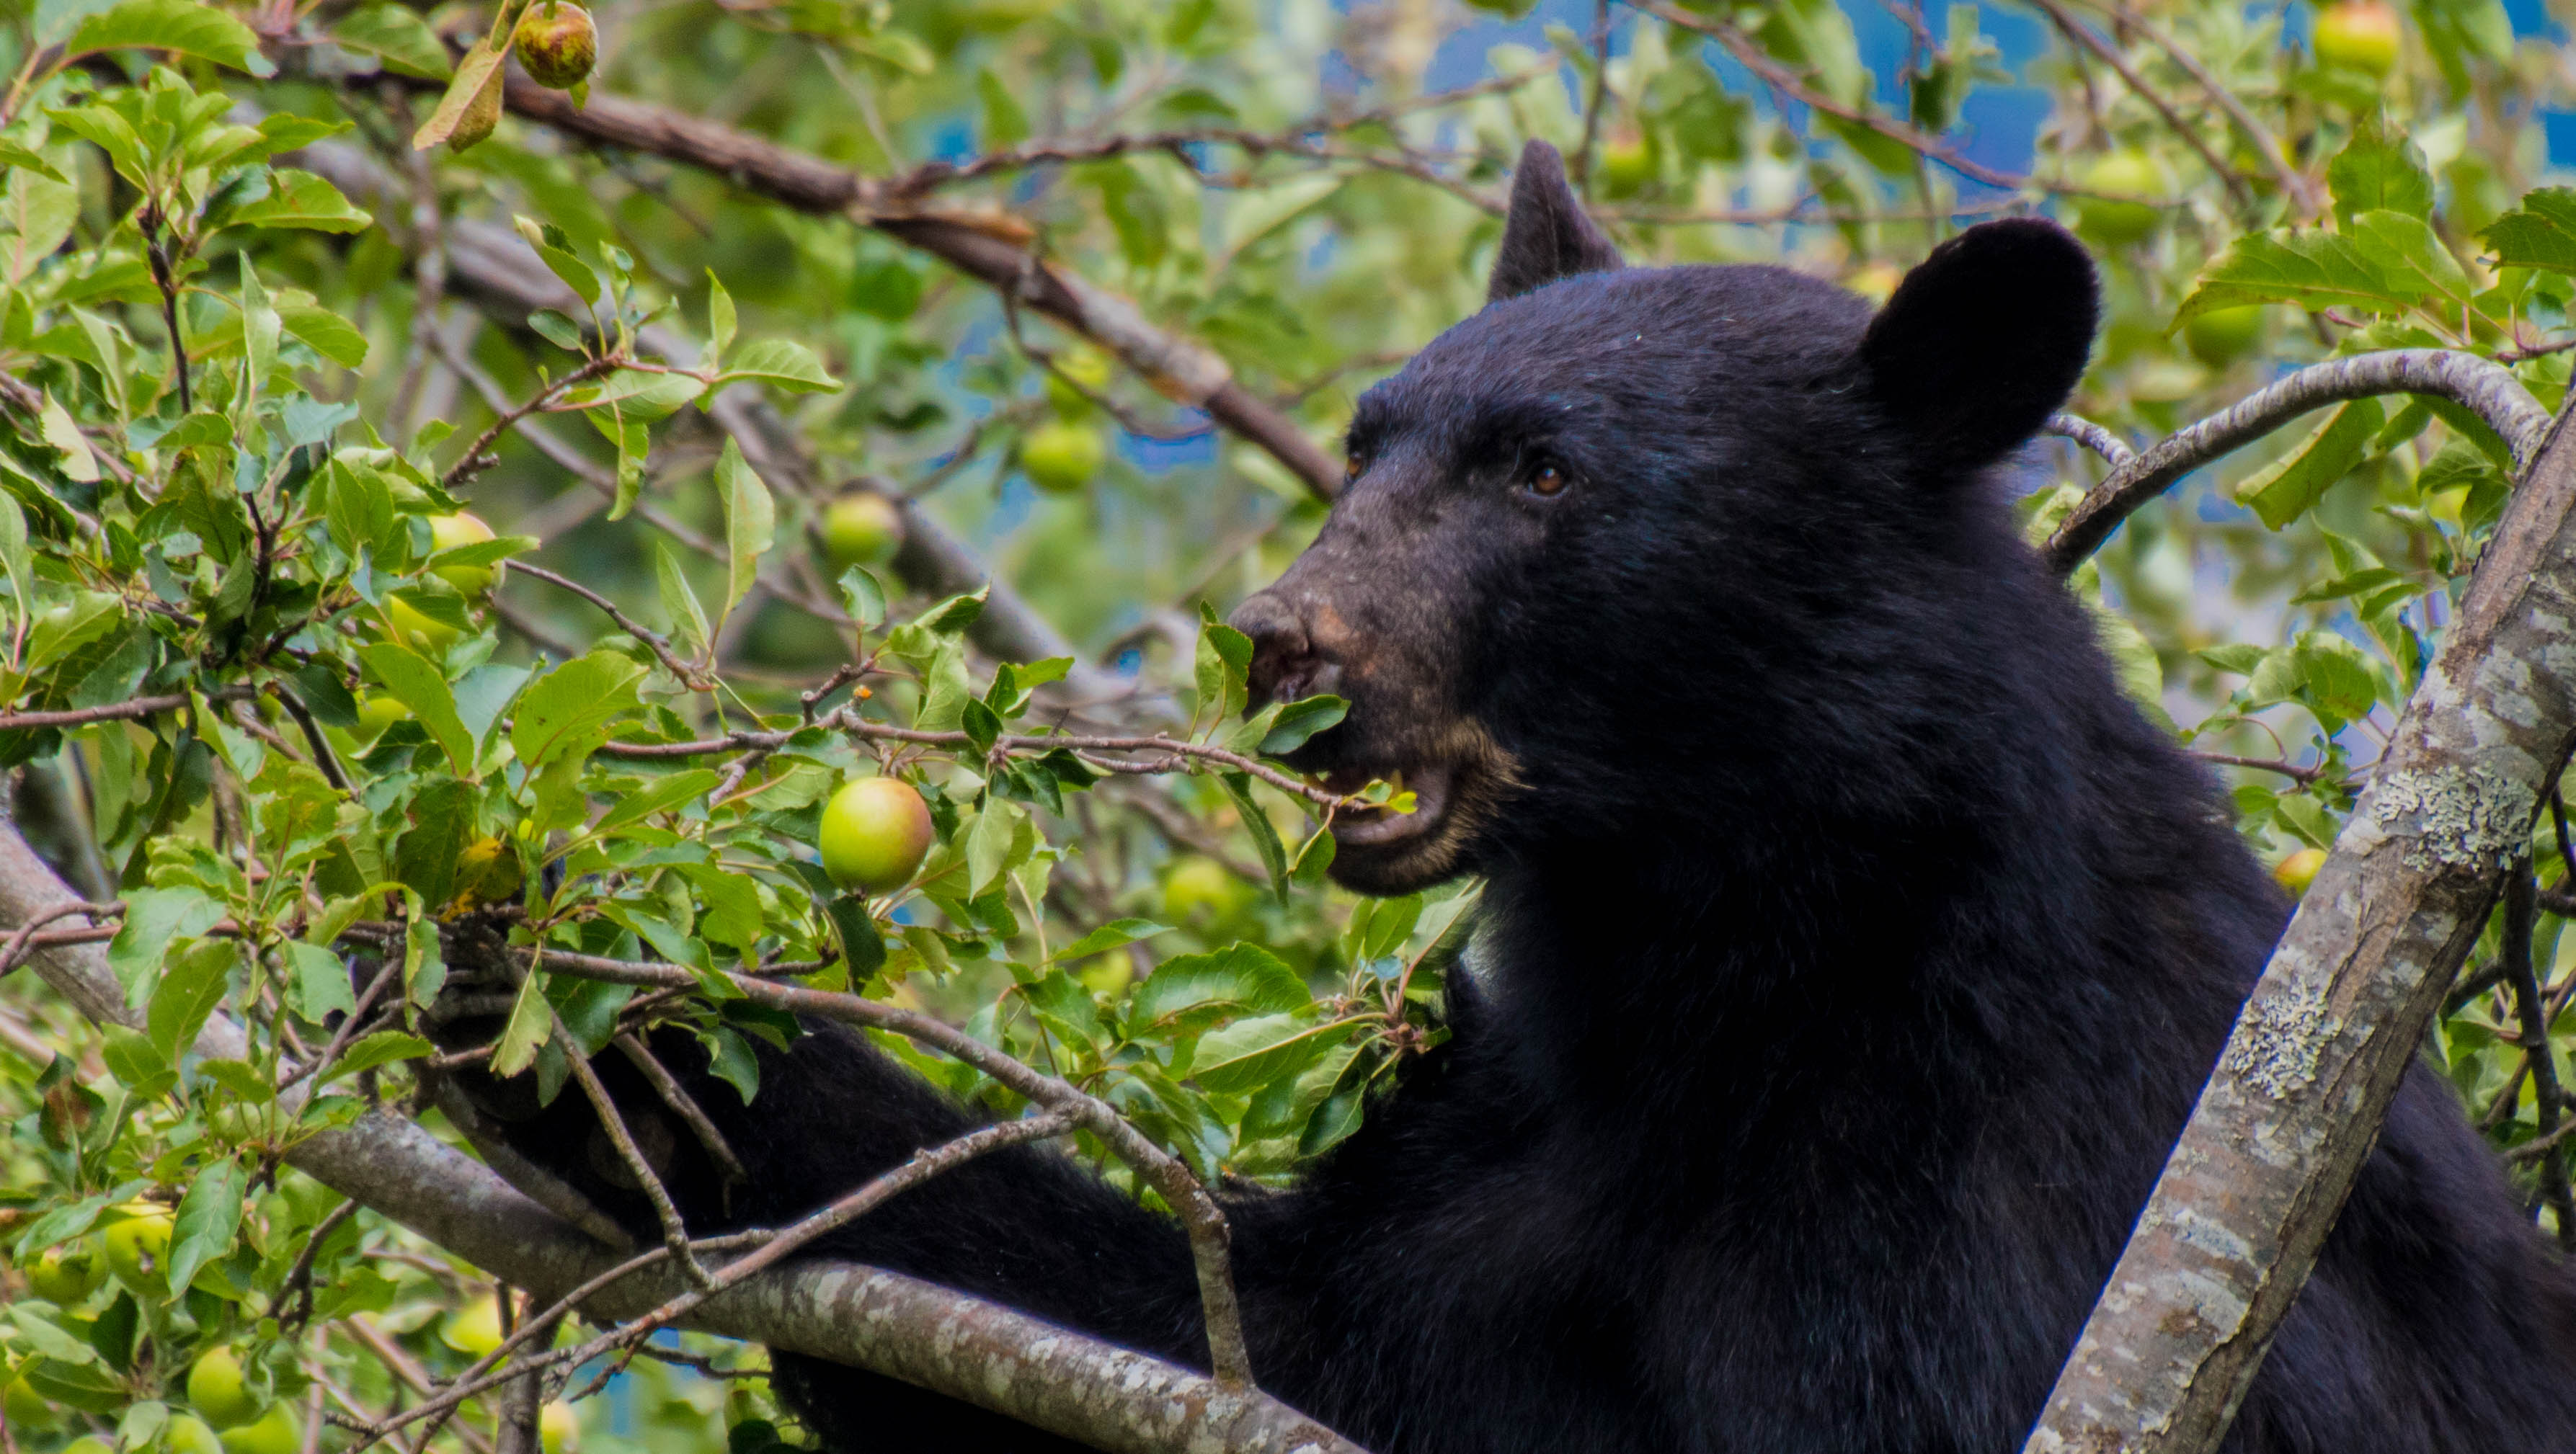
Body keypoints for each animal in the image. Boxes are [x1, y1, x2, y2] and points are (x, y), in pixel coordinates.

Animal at [453, 138, 2576, 1451]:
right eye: (1366, 438)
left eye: (1540, 471)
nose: (1280, 639)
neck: (1738, 973)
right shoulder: (1509, 1169)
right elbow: (1183, 1327)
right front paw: (558, 1006)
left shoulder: (2050, 1216)